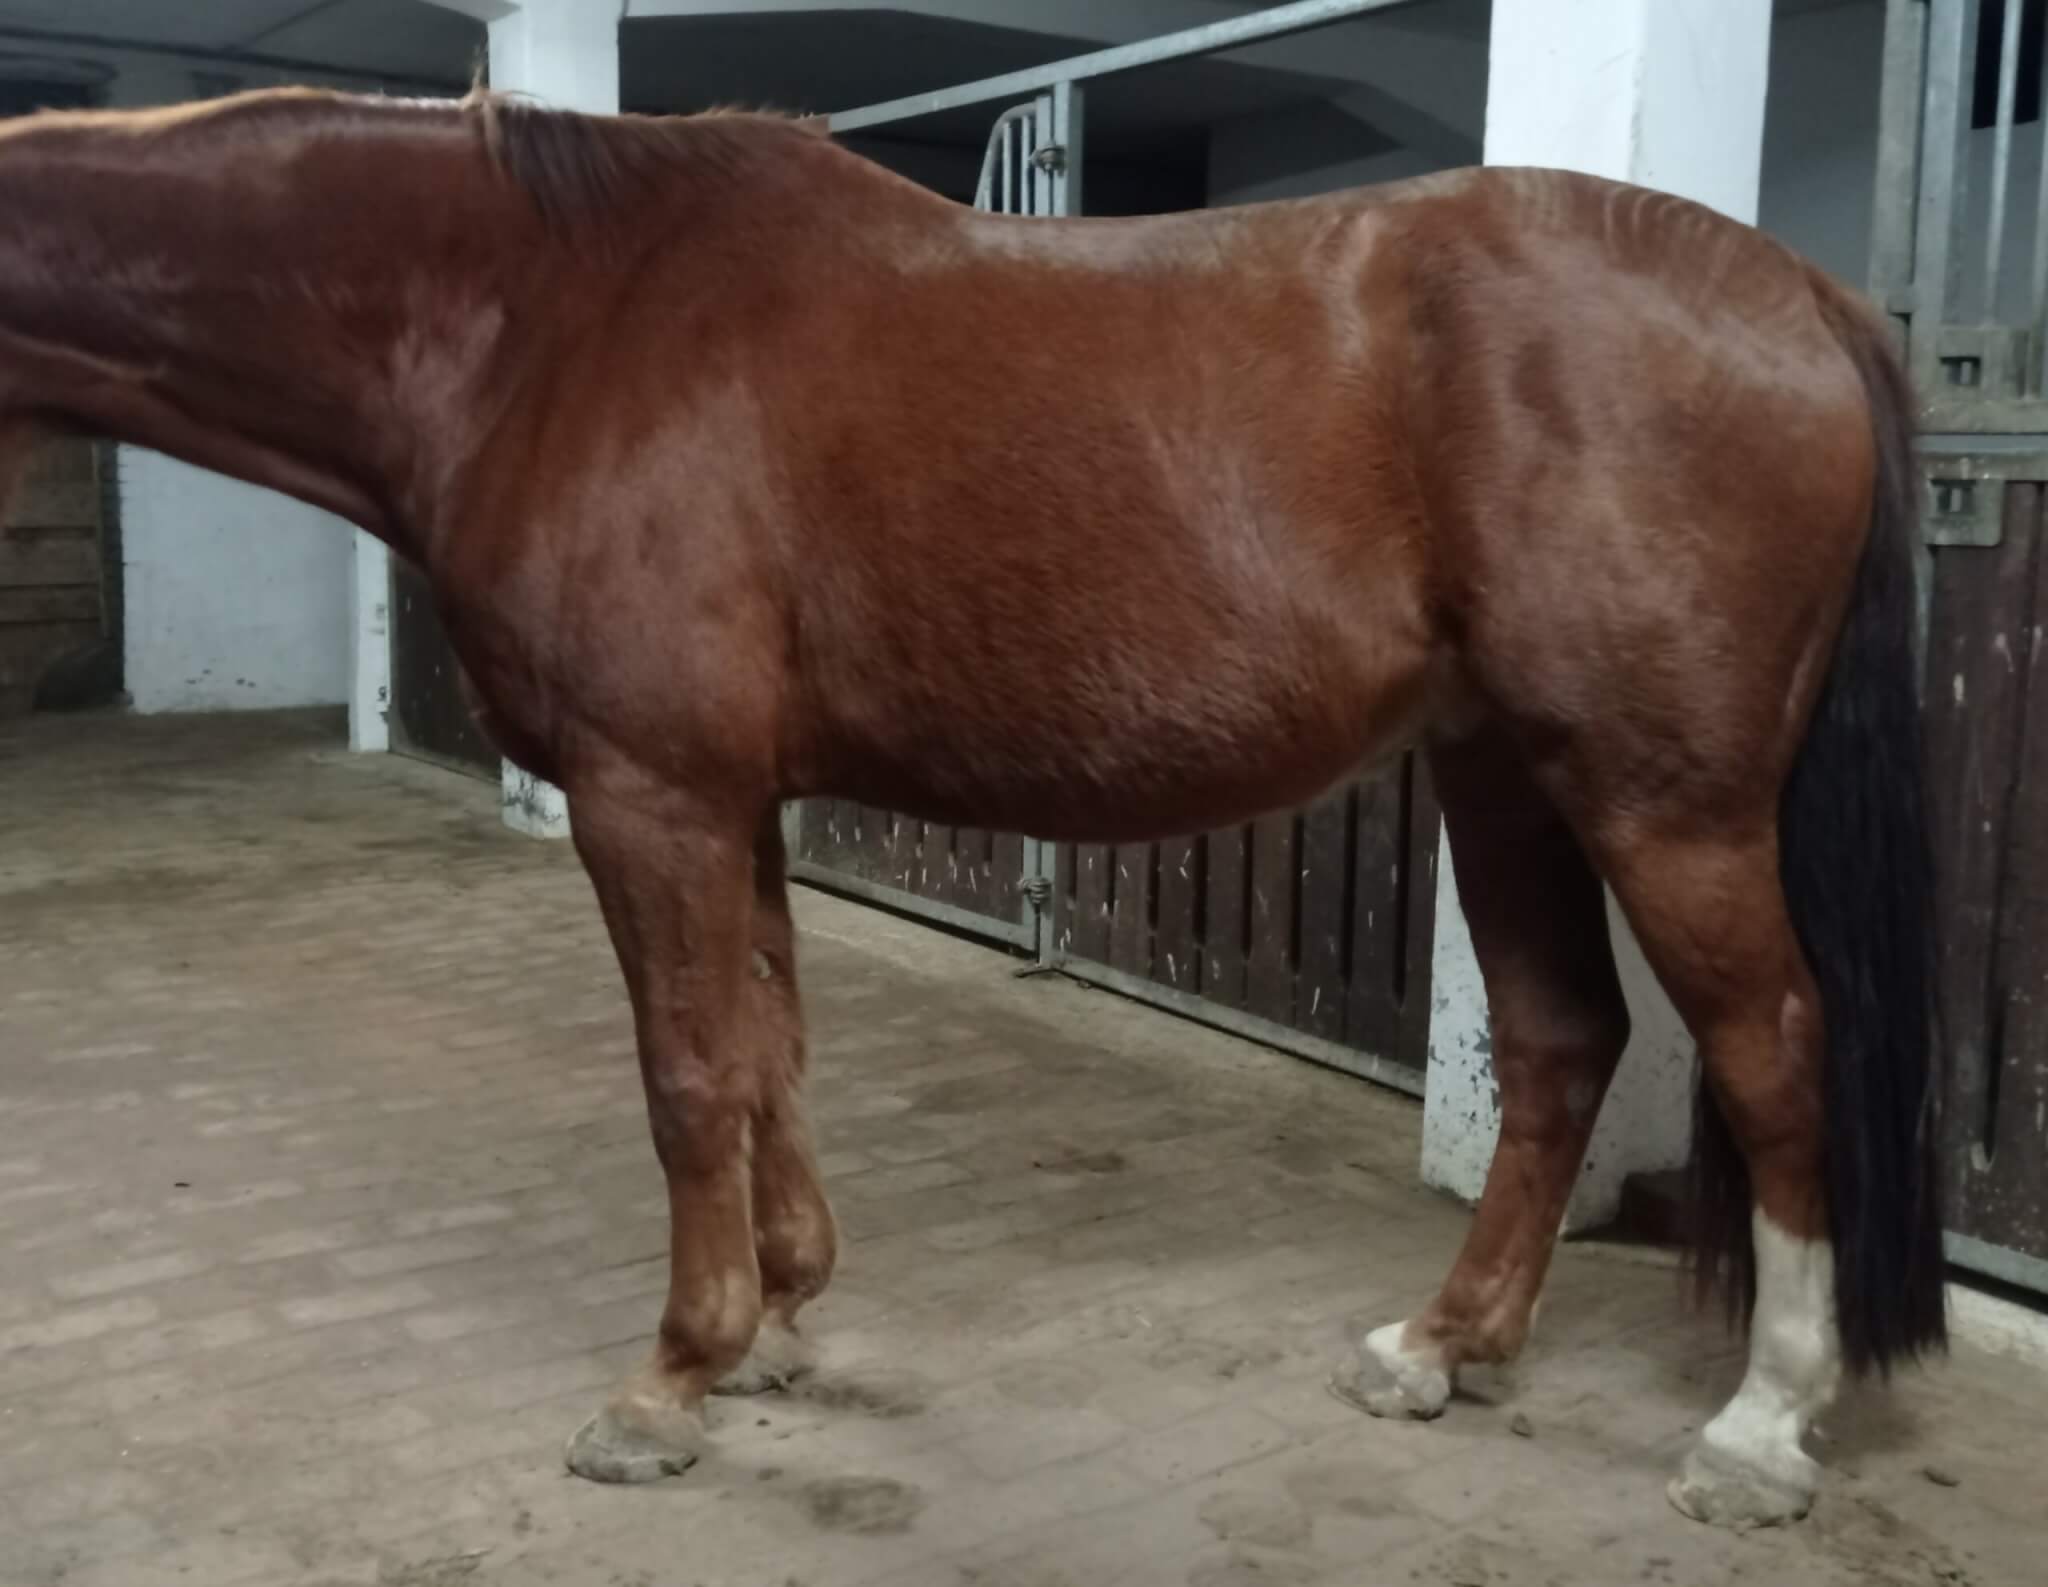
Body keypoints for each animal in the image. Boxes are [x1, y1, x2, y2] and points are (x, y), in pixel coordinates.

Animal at [0, 87, 1947, 1529]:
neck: (544, 319)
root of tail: (1805, 300)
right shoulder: (735, 798)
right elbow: (769, 1047)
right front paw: (778, 1320)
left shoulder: (650, 791)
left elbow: (687, 1075)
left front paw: (668, 1378)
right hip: (1499, 767)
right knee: (1556, 1041)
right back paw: (1437, 1347)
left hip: (1662, 795)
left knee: (1773, 1045)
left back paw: (1757, 1430)